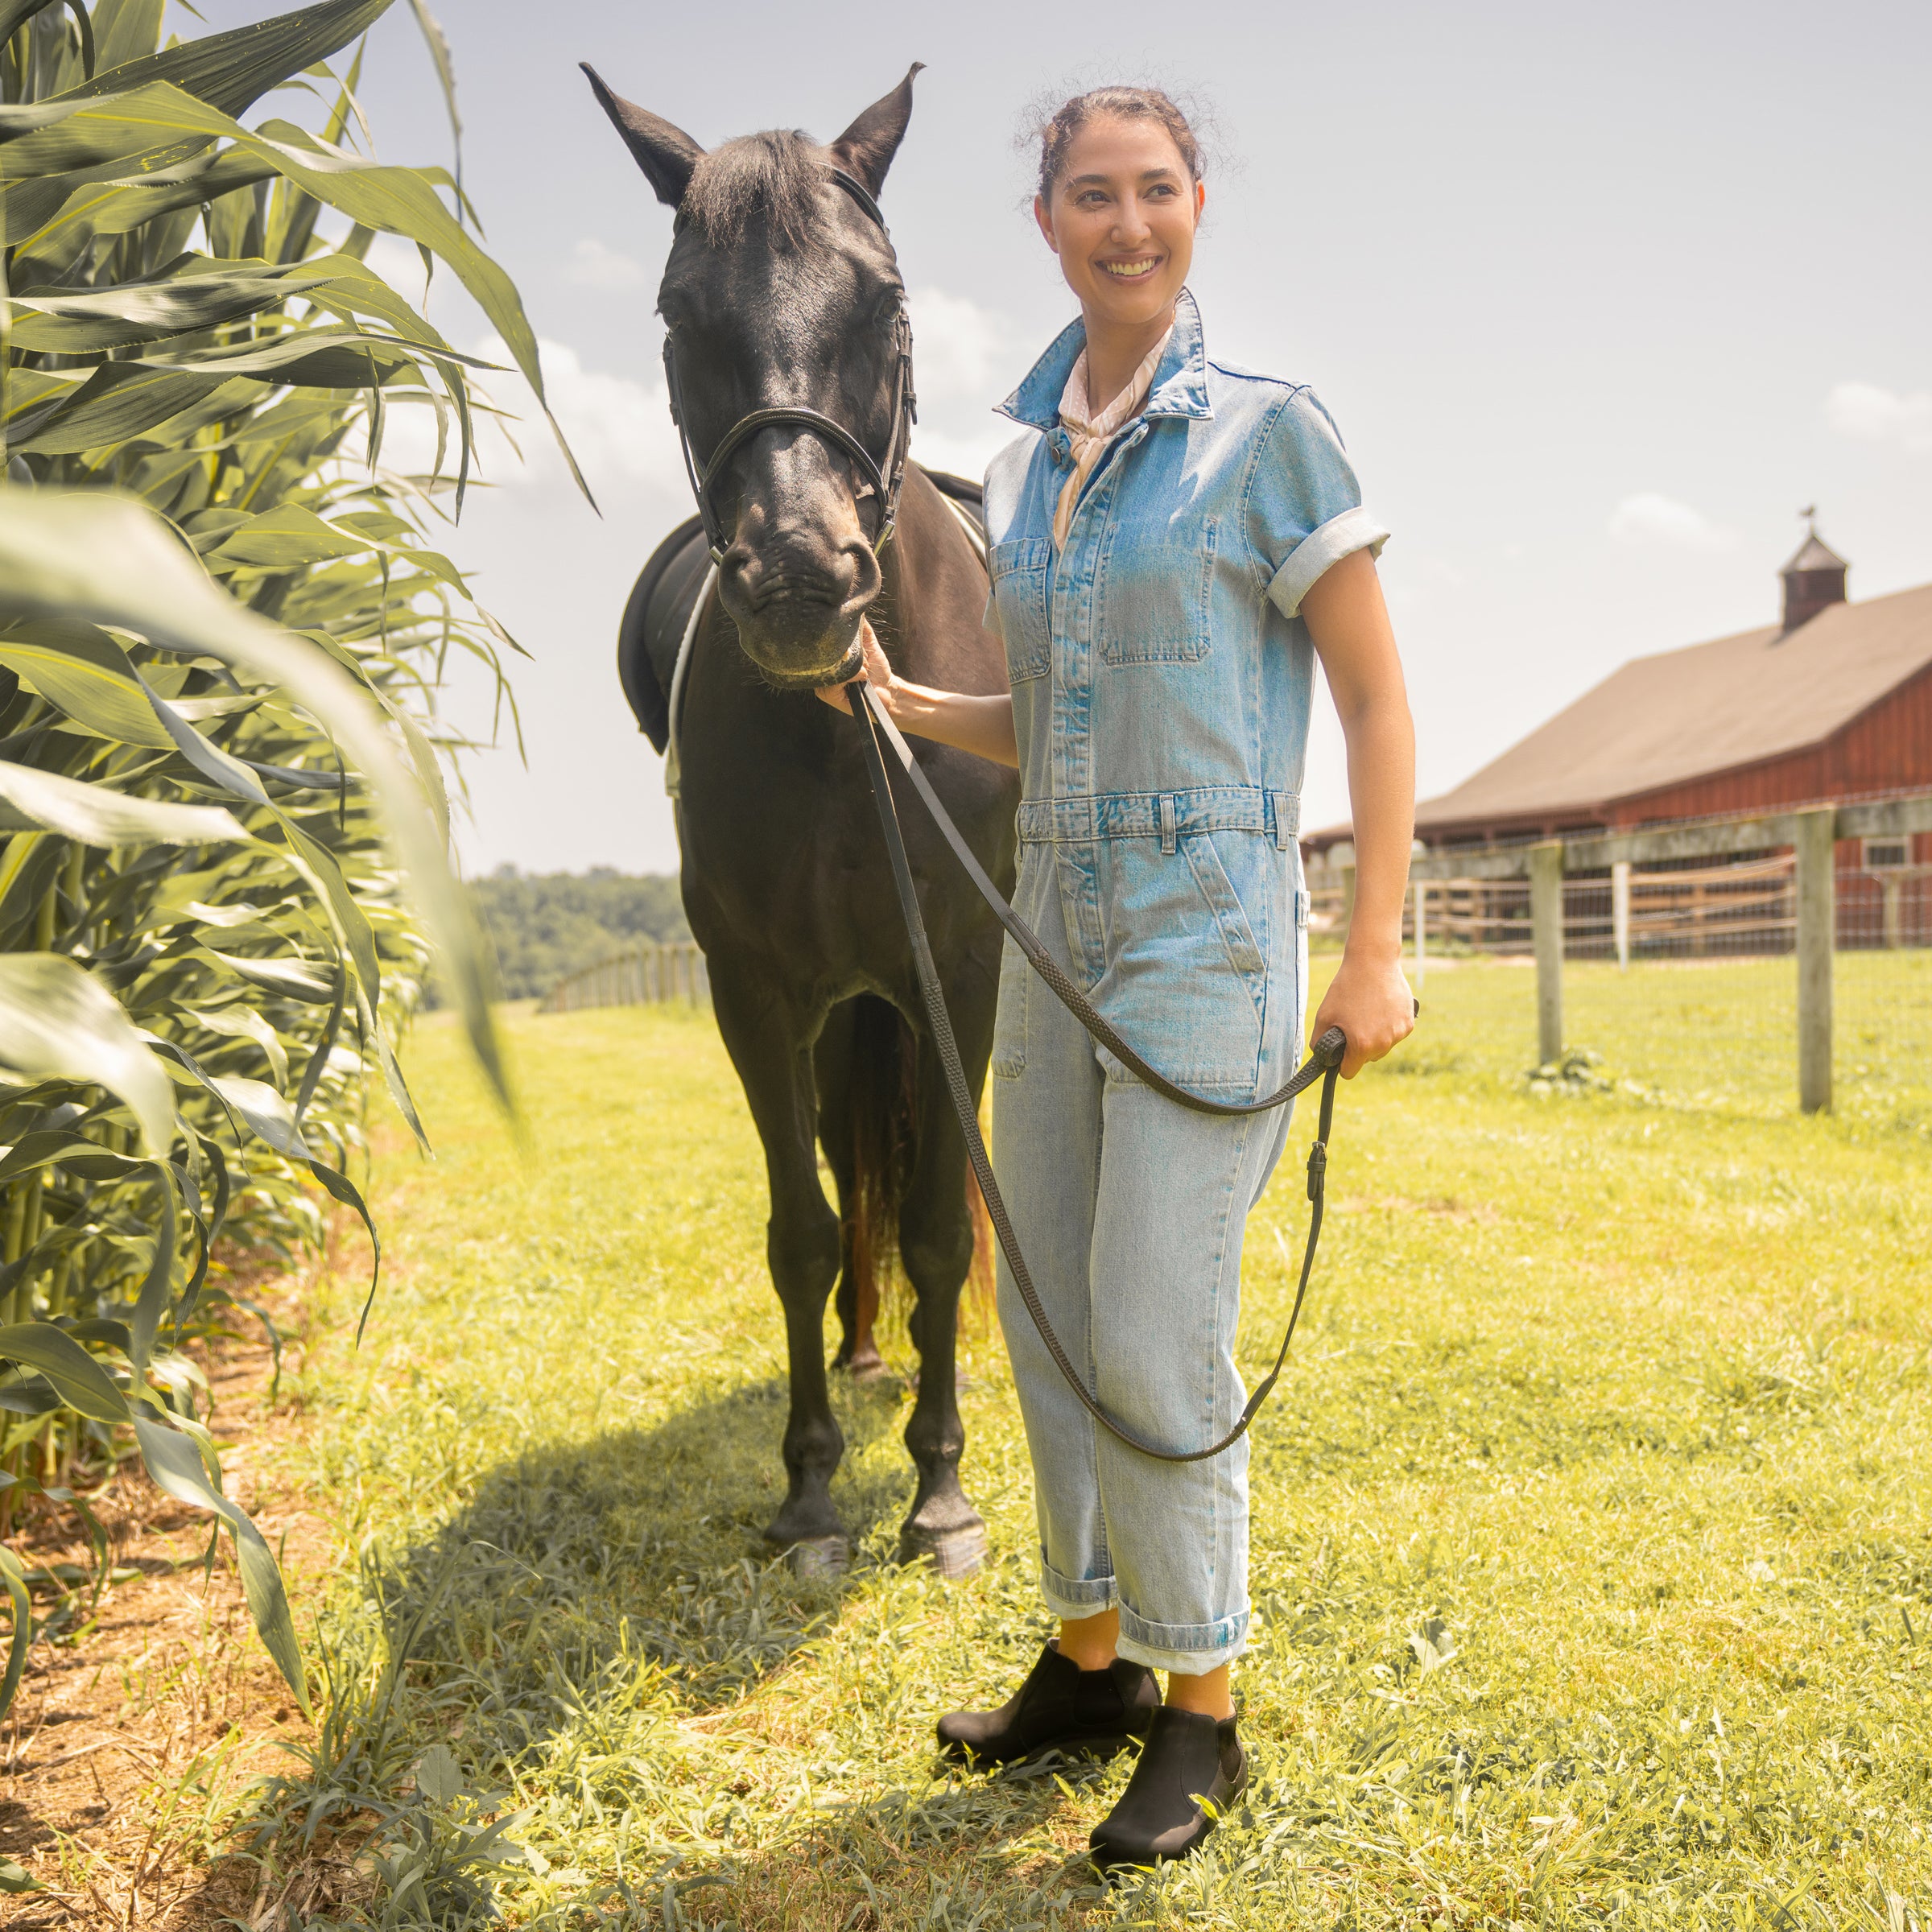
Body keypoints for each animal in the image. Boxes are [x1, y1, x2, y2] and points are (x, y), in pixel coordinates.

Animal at [580, 64, 1020, 1584]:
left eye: (884, 302)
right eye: (675, 315)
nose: (798, 578)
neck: (844, 734)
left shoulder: (957, 975)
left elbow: (942, 1224)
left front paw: (941, 1492)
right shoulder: (761, 994)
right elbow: (804, 1232)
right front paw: (815, 1492)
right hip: (840, 1014)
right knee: (844, 1167)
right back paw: (866, 1355)